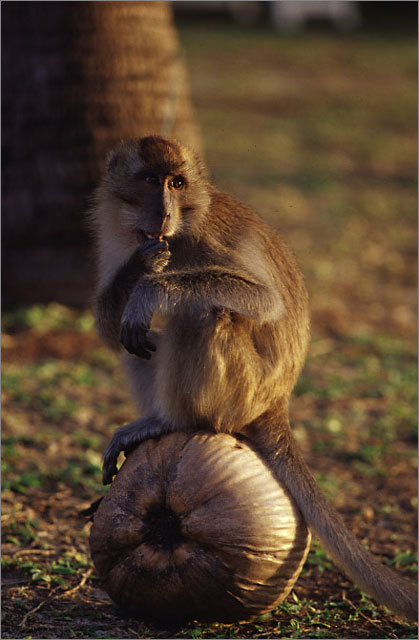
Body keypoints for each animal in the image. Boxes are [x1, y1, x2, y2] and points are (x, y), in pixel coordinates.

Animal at [89, 135, 418, 622]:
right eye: (150, 179)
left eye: (177, 183)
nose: (163, 213)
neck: (181, 230)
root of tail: (277, 401)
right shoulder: (120, 233)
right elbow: (113, 331)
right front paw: (141, 266)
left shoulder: (206, 239)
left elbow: (264, 301)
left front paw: (152, 287)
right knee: (142, 338)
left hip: (242, 393)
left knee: (206, 312)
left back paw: (170, 420)